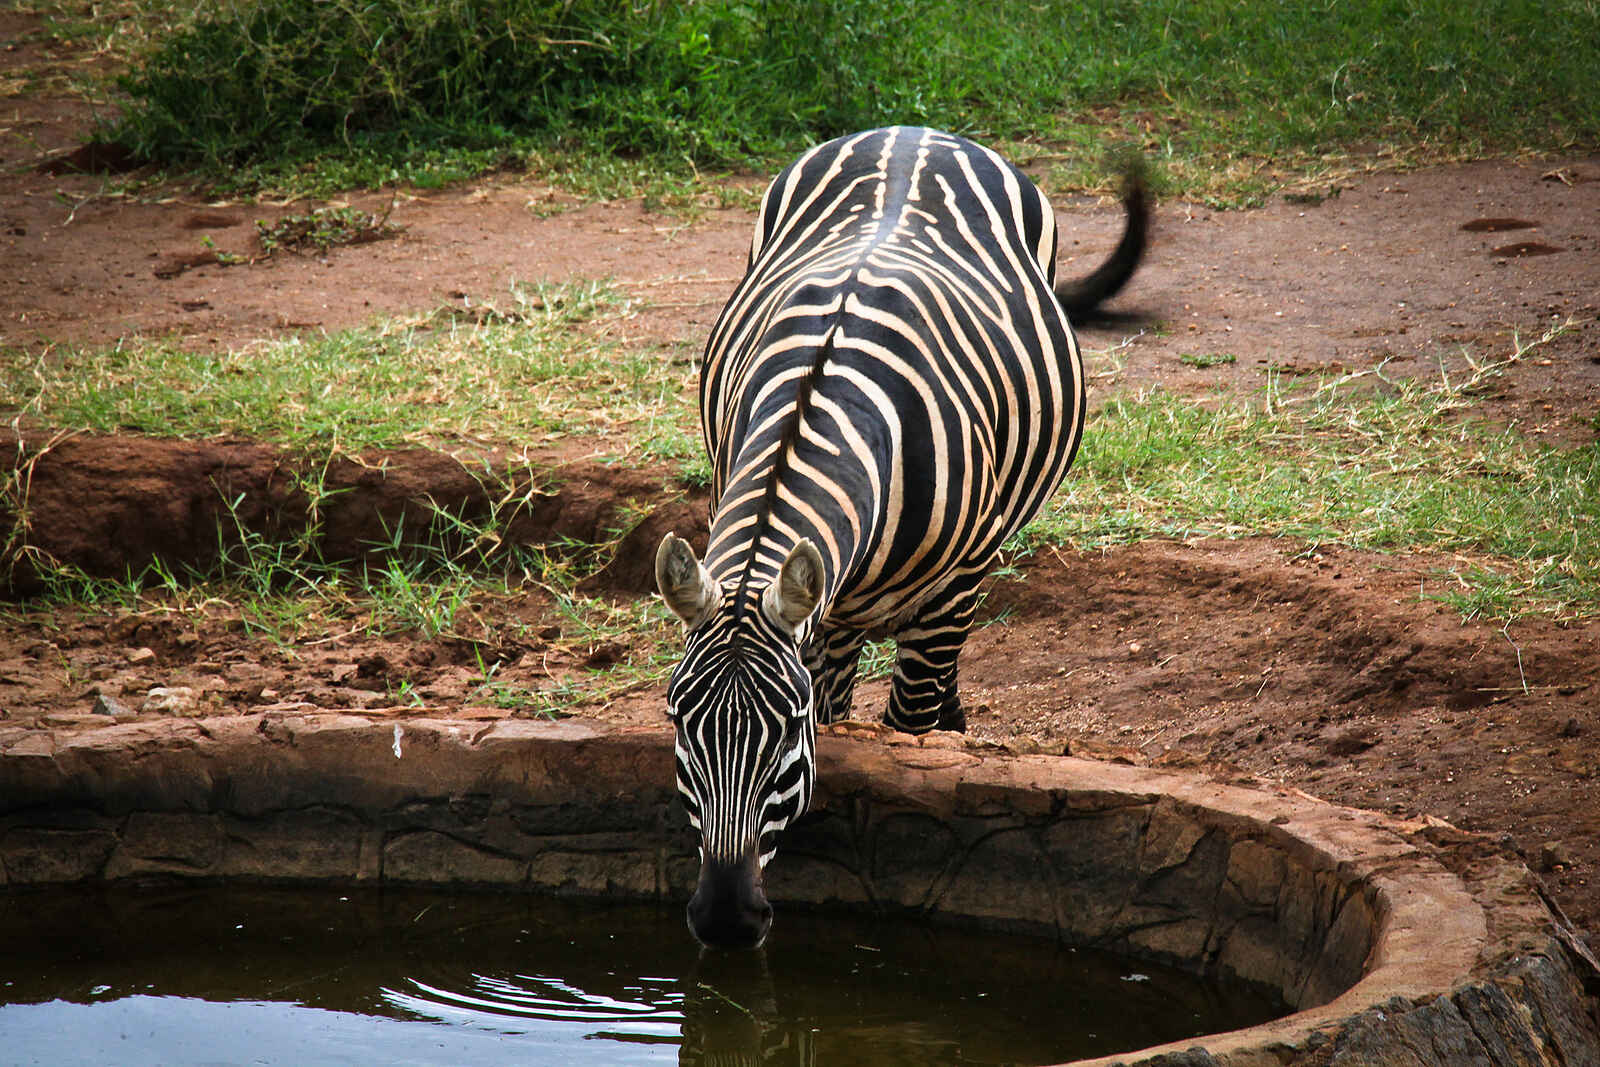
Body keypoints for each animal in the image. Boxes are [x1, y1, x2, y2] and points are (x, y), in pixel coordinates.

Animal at [655, 126, 1149, 948]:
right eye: (678, 721)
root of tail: (914, 132)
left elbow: (907, 733)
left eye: (784, 731)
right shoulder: (814, 609)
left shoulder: (957, 584)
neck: (815, 406)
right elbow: (839, 713)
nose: (725, 920)